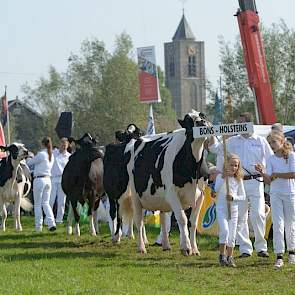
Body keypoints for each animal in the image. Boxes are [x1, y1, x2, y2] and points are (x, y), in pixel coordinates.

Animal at [123, 110, 209, 256]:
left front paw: (195, 249)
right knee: (139, 220)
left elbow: (193, 222)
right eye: (188, 120)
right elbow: (182, 219)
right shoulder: (172, 193)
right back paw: (141, 247)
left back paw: (166, 245)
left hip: (161, 199)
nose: (201, 122)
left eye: (203, 116)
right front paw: (186, 248)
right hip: (135, 195)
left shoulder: (200, 195)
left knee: (163, 218)